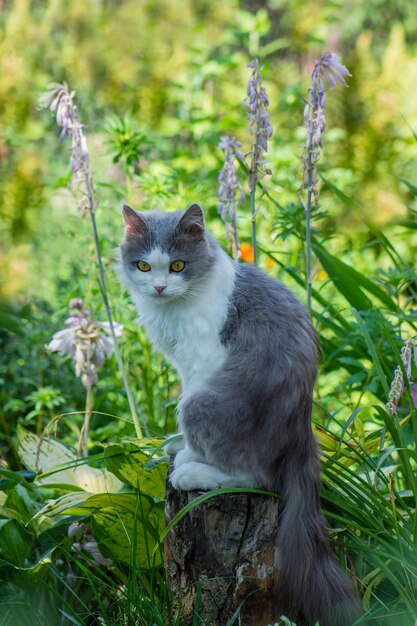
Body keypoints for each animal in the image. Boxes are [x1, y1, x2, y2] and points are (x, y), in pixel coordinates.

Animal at [118, 204, 360, 624]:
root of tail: (301, 431)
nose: (160, 287)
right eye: (144, 266)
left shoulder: (201, 362)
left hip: (203, 404)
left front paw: (186, 452)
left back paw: (192, 472)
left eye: (178, 265)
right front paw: (176, 445)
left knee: (257, 478)